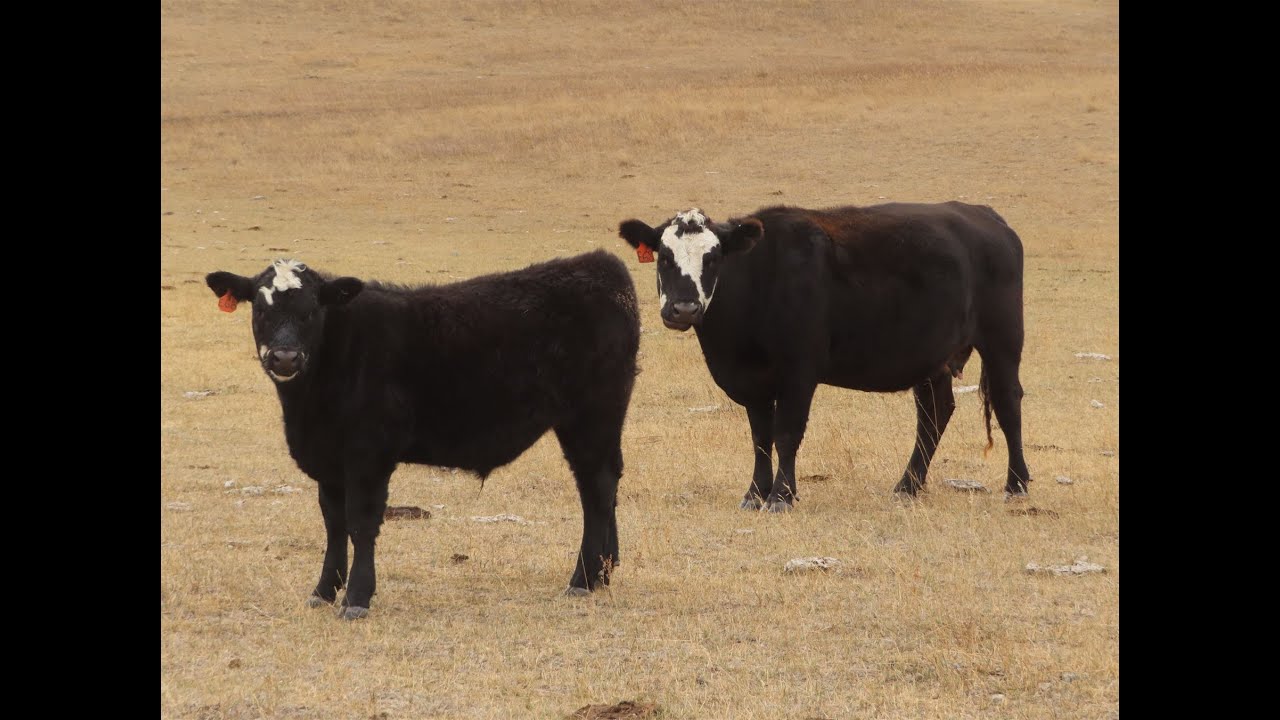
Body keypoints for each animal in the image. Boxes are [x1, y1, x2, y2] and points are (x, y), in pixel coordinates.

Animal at [205, 251, 640, 619]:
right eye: (260, 308)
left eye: (311, 310)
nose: (284, 357)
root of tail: (599, 264)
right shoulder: (328, 461)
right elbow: (333, 524)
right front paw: (324, 590)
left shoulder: (368, 455)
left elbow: (360, 522)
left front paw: (357, 598)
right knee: (605, 487)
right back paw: (604, 571)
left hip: (591, 417)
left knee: (597, 489)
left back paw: (583, 580)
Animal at [618, 204, 1031, 512]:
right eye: (664, 257)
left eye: (714, 257)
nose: (684, 309)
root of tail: (986, 217)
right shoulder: (751, 381)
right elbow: (759, 436)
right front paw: (755, 493)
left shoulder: (799, 372)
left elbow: (786, 433)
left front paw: (782, 496)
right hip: (932, 358)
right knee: (934, 414)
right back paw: (908, 484)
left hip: (1003, 340)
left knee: (1007, 404)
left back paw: (1016, 483)